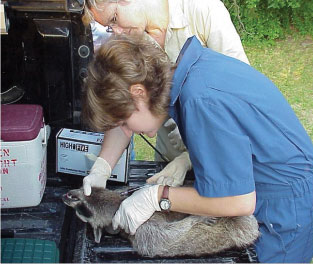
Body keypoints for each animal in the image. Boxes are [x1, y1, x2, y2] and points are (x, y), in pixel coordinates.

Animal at [62, 187, 258, 256]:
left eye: (82, 207)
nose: (66, 195)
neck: (119, 203)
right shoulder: (143, 232)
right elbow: (168, 237)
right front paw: (195, 219)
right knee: (244, 223)